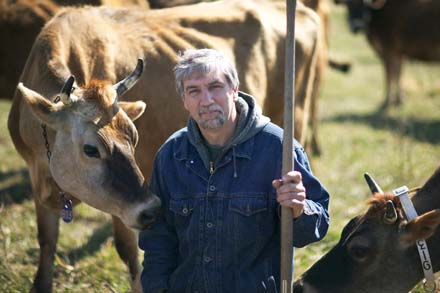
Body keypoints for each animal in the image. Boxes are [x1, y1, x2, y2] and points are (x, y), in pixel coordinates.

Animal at [9, 59, 160, 292]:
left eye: (134, 137)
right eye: (90, 149)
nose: (151, 211)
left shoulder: (119, 208)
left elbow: (130, 255)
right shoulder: (37, 187)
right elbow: (46, 239)